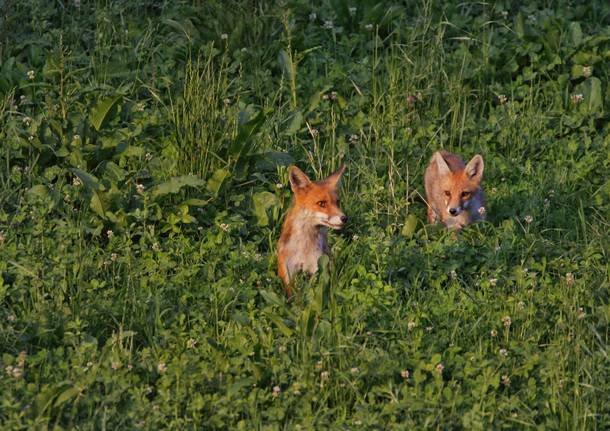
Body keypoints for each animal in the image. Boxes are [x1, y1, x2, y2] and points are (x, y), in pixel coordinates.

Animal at [276, 165, 346, 296]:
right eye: (321, 203)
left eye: (337, 202)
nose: (344, 218)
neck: (305, 249)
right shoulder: (287, 273)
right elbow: (292, 296)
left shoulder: (318, 268)